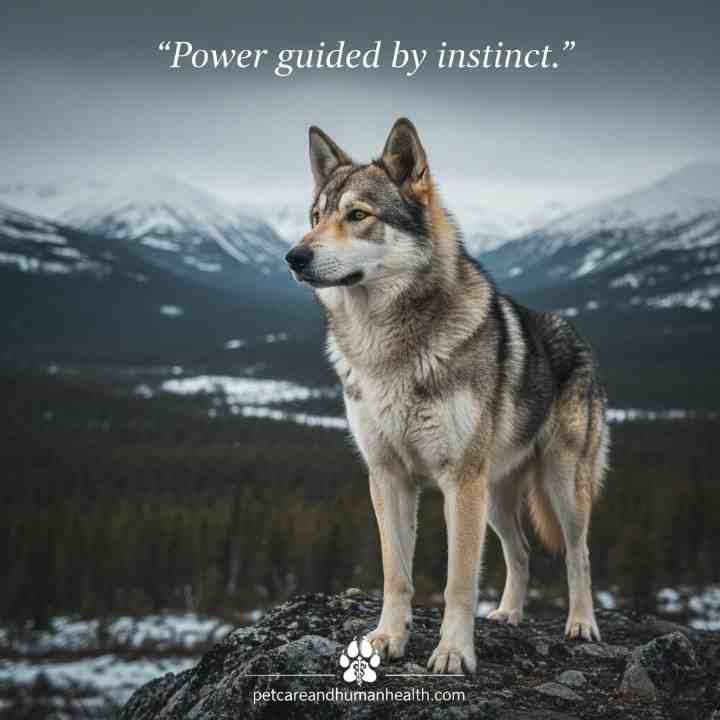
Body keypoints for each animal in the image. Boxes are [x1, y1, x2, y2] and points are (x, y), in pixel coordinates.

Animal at [285, 118, 609, 674]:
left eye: (357, 215)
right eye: (315, 216)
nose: (293, 256)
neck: (386, 349)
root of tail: (578, 336)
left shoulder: (460, 482)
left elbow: (458, 582)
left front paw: (454, 652)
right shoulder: (388, 475)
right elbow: (396, 573)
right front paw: (386, 639)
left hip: (558, 486)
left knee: (578, 554)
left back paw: (582, 624)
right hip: (496, 500)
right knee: (522, 551)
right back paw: (508, 614)